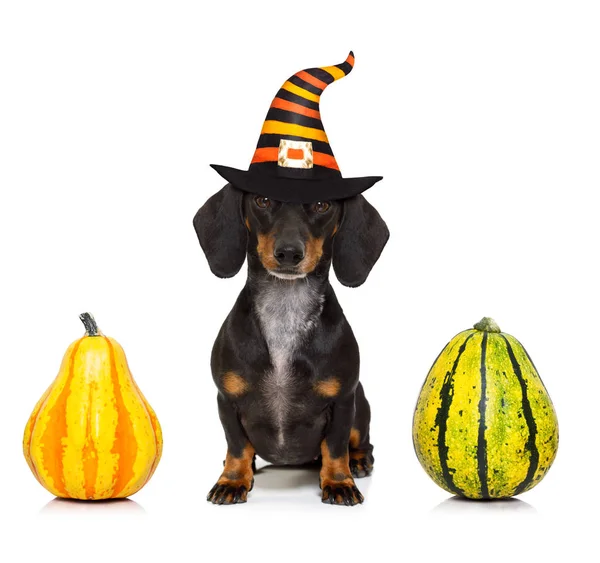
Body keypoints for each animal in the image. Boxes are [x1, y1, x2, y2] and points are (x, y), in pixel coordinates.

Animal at [193, 185, 390, 506]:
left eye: (323, 204)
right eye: (262, 200)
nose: (288, 253)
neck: (285, 313)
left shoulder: (343, 400)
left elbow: (335, 447)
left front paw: (339, 482)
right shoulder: (227, 399)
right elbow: (237, 446)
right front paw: (232, 480)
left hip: (361, 406)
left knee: (361, 442)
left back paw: (359, 461)